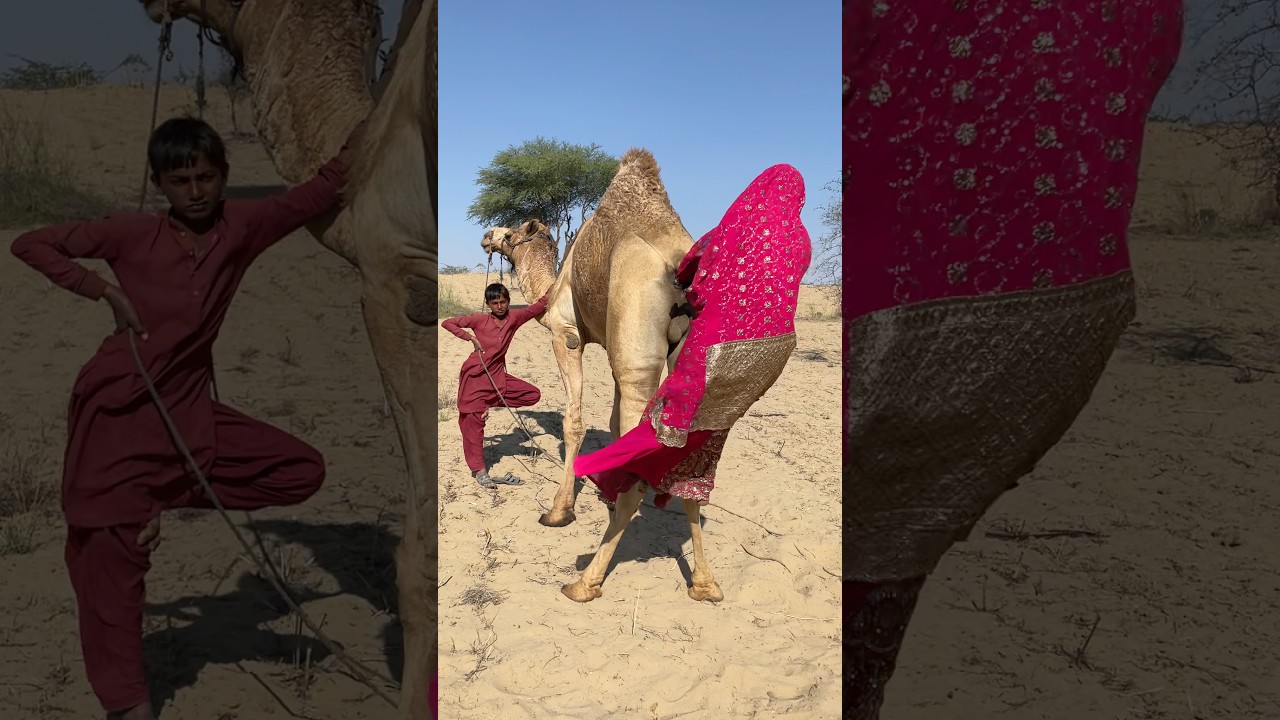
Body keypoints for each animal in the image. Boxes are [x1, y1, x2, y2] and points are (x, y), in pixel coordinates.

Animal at [480, 148, 693, 527]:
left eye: (511, 235)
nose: (487, 234)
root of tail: (677, 262)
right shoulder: (611, 343)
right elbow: (611, 423)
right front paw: (604, 492)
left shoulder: (567, 335)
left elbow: (574, 421)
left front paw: (559, 509)